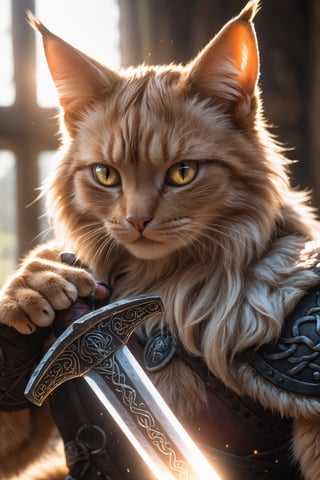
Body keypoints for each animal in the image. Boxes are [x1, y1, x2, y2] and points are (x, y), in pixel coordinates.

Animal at [0, 0, 320, 478]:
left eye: (183, 173)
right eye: (105, 175)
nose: (136, 221)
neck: (163, 277)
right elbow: (15, 443)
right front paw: (34, 283)